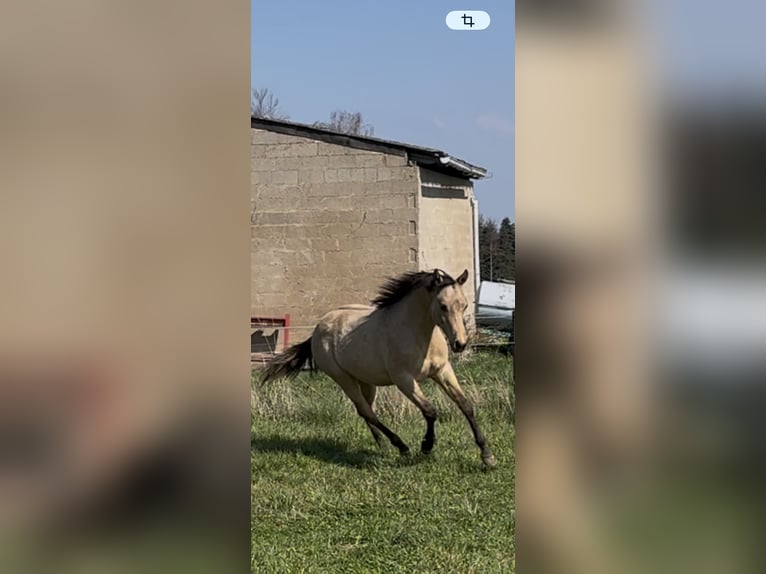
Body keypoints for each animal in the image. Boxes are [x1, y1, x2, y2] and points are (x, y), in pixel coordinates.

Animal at [260, 268, 497, 467]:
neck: (417, 333)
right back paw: (401, 446)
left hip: (366, 381)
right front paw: (426, 446)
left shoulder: (442, 371)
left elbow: (465, 405)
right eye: (443, 306)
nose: (460, 344)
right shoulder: (404, 380)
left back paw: (382, 443)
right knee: (365, 410)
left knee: (367, 410)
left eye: (464, 305)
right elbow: (430, 411)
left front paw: (487, 456)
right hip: (343, 379)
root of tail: (317, 330)